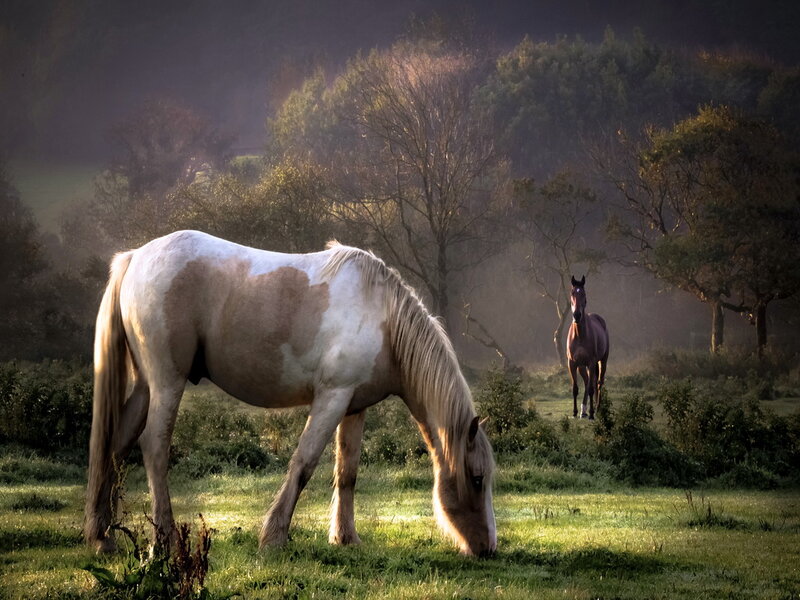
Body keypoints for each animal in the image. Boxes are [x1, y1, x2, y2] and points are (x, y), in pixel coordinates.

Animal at [84, 230, 496, 557]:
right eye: (476, 479)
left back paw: (102, 537)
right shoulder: (331, 398)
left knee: (117, 445)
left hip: (145, 386)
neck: (383, 319)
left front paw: (346, 538)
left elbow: (347, 472)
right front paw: (274, 537)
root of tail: (135, 258)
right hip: (167, 382)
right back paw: (163, 541)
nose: (488, 548)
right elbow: (304, 464)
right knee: (154, 447)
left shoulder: (353, 406)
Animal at [566, 275, 609, 420]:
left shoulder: (591, 362)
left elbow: (591, 388)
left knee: (598, 383)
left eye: (583, 294)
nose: (577, 315)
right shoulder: (572, 363)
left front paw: (591, 414)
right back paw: (583, 410)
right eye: (572, 293)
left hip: (602, 361)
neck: (579, 335)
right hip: (581, 366)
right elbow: (575, 388)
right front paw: (574, 413)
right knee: (587, 382)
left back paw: (597, 409)